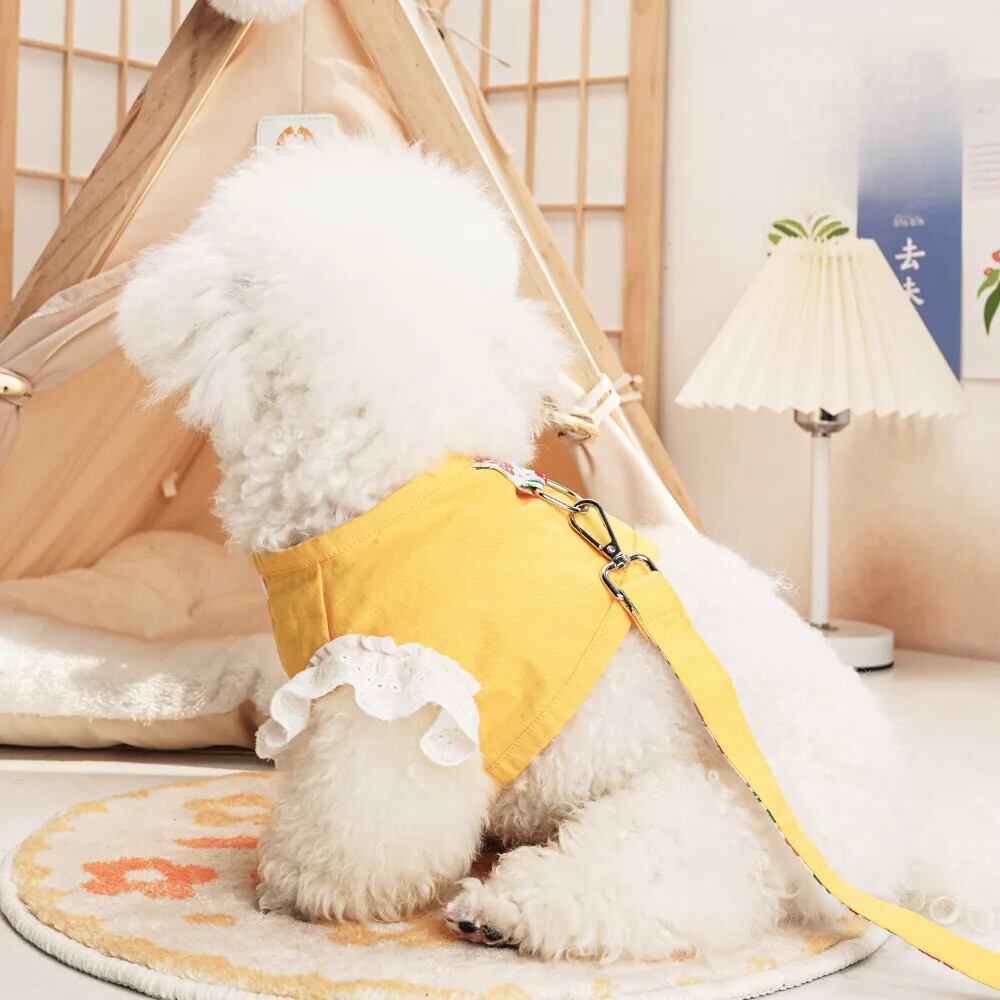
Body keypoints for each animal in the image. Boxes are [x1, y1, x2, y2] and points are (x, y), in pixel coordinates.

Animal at [116, 134, 911, 961]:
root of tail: (892, 839)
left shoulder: (397, 694)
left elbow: (363, 826)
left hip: (716, 808)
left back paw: (503, 911)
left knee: (675, 881)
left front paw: (301, 884)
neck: (387, 479)